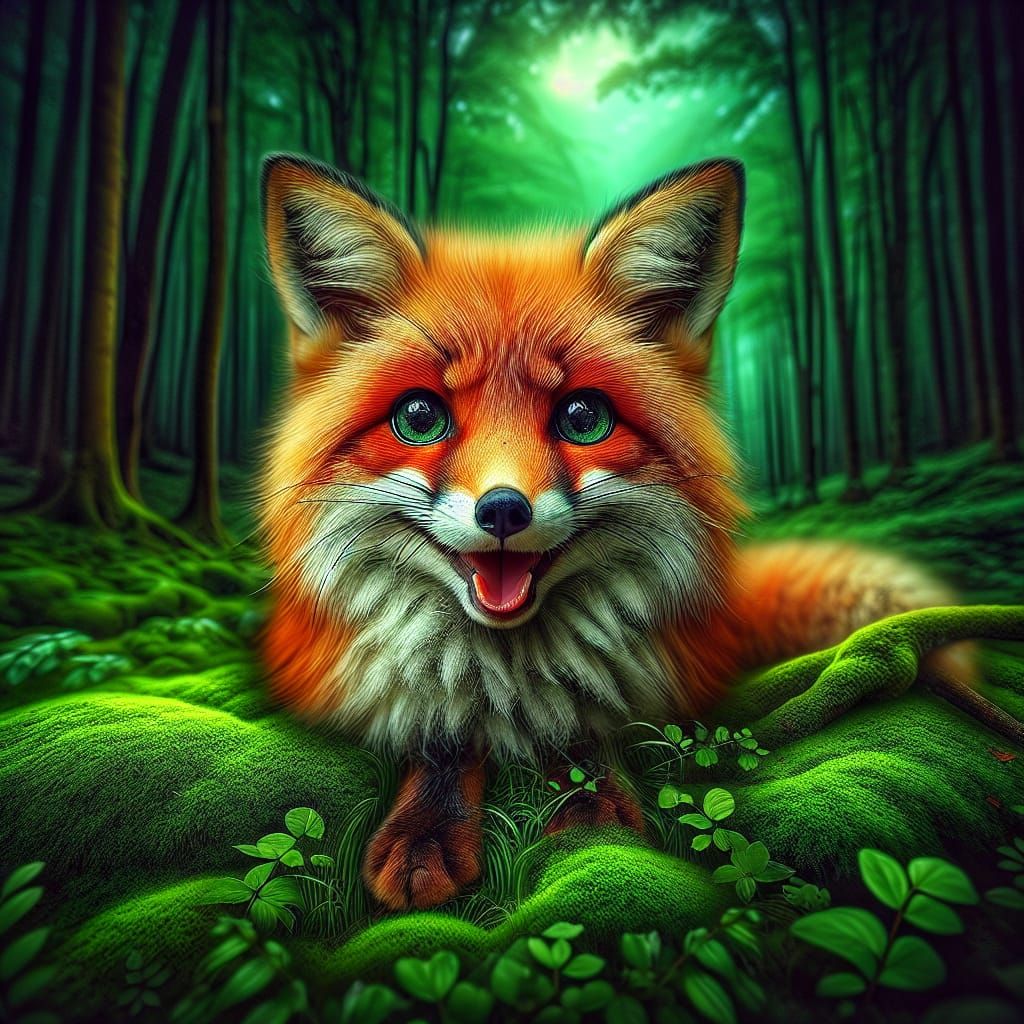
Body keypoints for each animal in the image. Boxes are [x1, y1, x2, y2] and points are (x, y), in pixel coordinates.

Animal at [257, 153, 967, 911]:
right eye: (419, 418)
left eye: (583, 418)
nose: (503, 511)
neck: (509, 670)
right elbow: (438, 736)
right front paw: (426, 829)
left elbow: (590, 736)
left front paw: (593, 827)